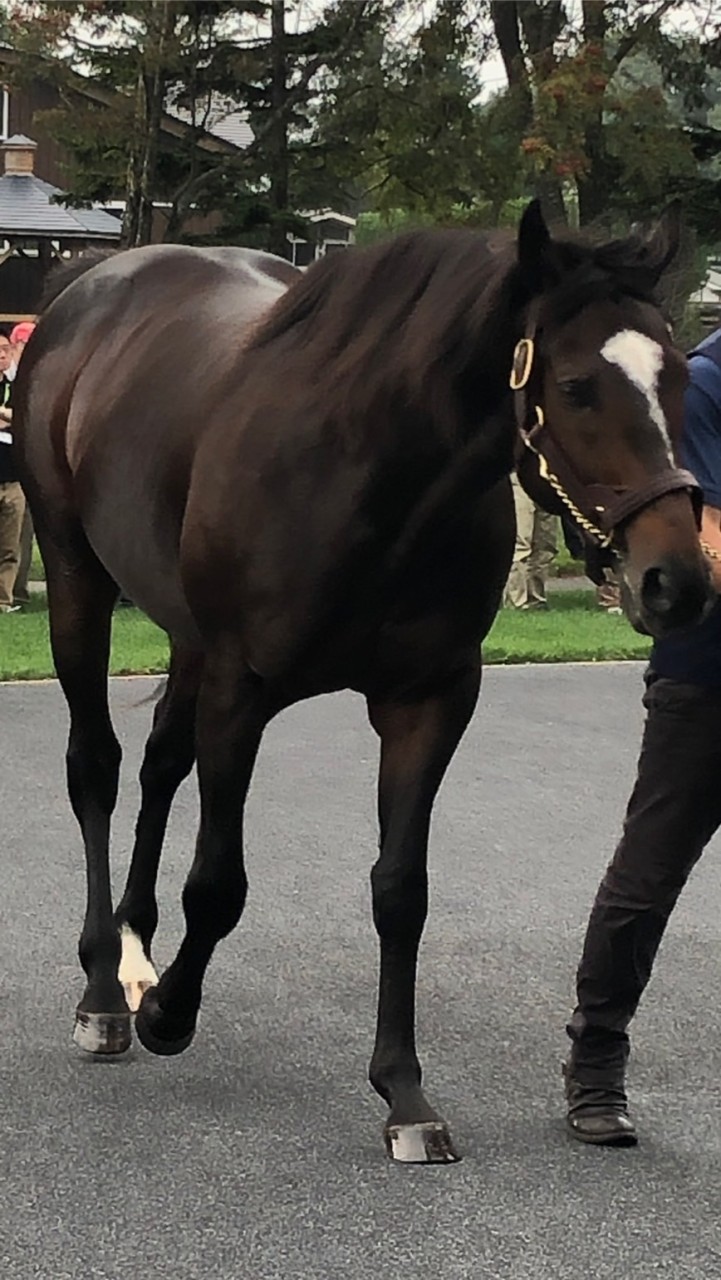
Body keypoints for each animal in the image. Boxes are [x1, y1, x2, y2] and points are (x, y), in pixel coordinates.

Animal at [14, 200, 713, 1164]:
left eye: (677, 374)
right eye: (575, 385)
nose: (674, 581)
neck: (367, 477)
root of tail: (91, 288)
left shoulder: (430, 700)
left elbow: (399, 891)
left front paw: (403, 1092)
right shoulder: (241, 689)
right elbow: (218, 883)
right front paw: (167, 1015)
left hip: (183, 633)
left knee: (158, 766)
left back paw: (133, 946)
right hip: (79, 579)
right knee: (97, 767)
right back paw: (104, 992)